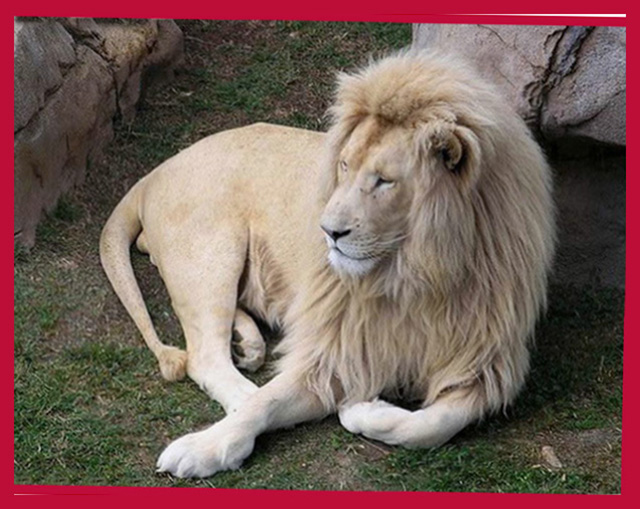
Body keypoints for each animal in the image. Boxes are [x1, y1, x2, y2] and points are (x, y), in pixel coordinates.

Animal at [100, 51, 555, 478]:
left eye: (384, 180)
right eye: (344, 165)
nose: (328, 232)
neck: (416, 276)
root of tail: (157, 170)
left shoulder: (482, 364)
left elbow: (434, 425)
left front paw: (364, 412)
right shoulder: (335, 350)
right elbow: (270, 401)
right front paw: (205, 447)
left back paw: (248, 342)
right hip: (211, 254)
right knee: (205, 358)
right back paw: (244, 388)